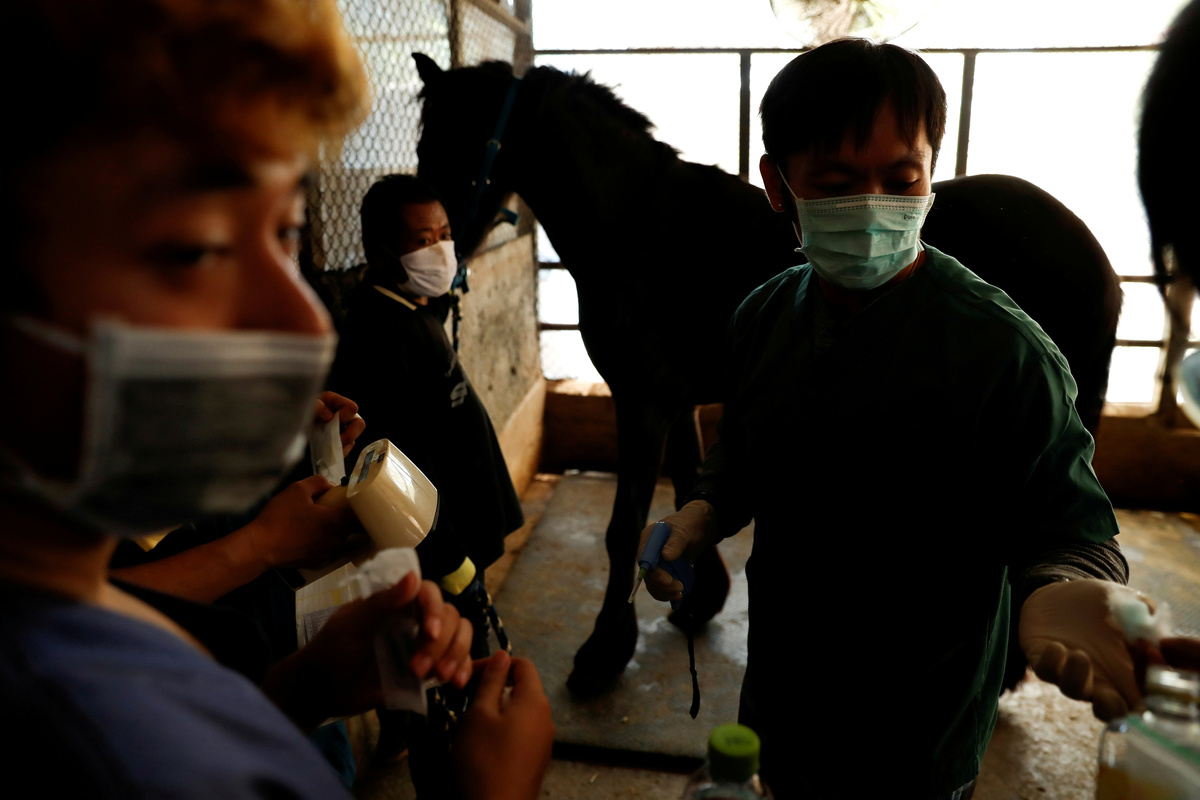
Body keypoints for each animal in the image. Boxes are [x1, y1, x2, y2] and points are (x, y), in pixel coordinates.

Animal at [412, 54, 1122, 695]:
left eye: (456, 142)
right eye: (424, 144)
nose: (436, 246)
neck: (643, 230)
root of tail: (1095, 256)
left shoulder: (642, 399)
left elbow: (622, 529)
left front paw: (604, 652)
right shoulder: (676, 399)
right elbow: (689, 485)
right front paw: (698, 596)